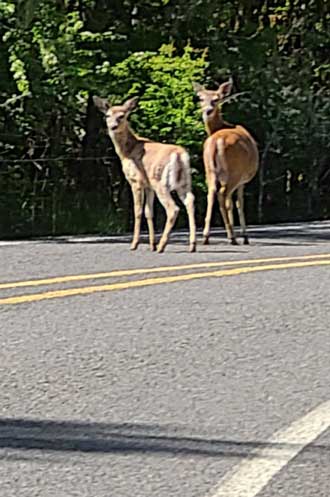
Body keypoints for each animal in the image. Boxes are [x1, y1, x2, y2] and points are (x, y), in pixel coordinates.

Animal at [93, 95, 196, 254]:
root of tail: (179, 155)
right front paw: (151, 245)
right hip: (184, 182)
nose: (112, 127)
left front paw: (135, 244)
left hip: (160, 182)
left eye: (122, 116)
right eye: (107, 115)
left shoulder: (136, 181)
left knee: (173, 208)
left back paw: (162, 246)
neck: (127, 151)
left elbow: (138, 211)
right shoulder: (148, 186)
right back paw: (192, 245)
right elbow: (149, 212)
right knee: (190, 201)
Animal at [192, 78, 260, 246]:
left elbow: (229, 203)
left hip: (209, 169)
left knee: (211, 192)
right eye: (201, 98)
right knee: (223, 194)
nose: (208, 111)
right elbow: (238, 203)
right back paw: (232, 237)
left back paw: (206, 236)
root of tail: (217, 141)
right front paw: (245, 236)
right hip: (234, 171)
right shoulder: (242, 180)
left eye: (216, 99)